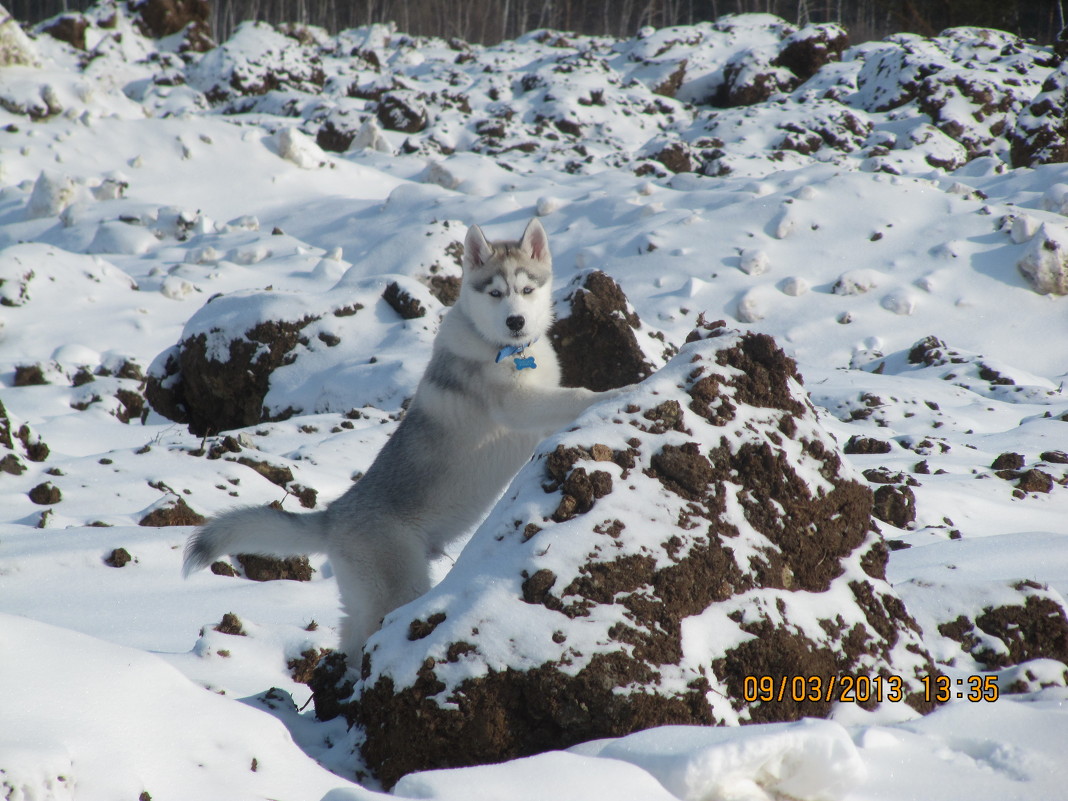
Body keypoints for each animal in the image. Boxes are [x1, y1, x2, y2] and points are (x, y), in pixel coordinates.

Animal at [181, 220, 619, 657]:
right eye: (495, 293)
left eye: (527, 290)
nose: (515, 322)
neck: (508, 351)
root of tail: (334, 515)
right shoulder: (514, 405)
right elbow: (577, 396)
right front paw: (617, 392)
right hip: (395, 587)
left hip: (365, 596)